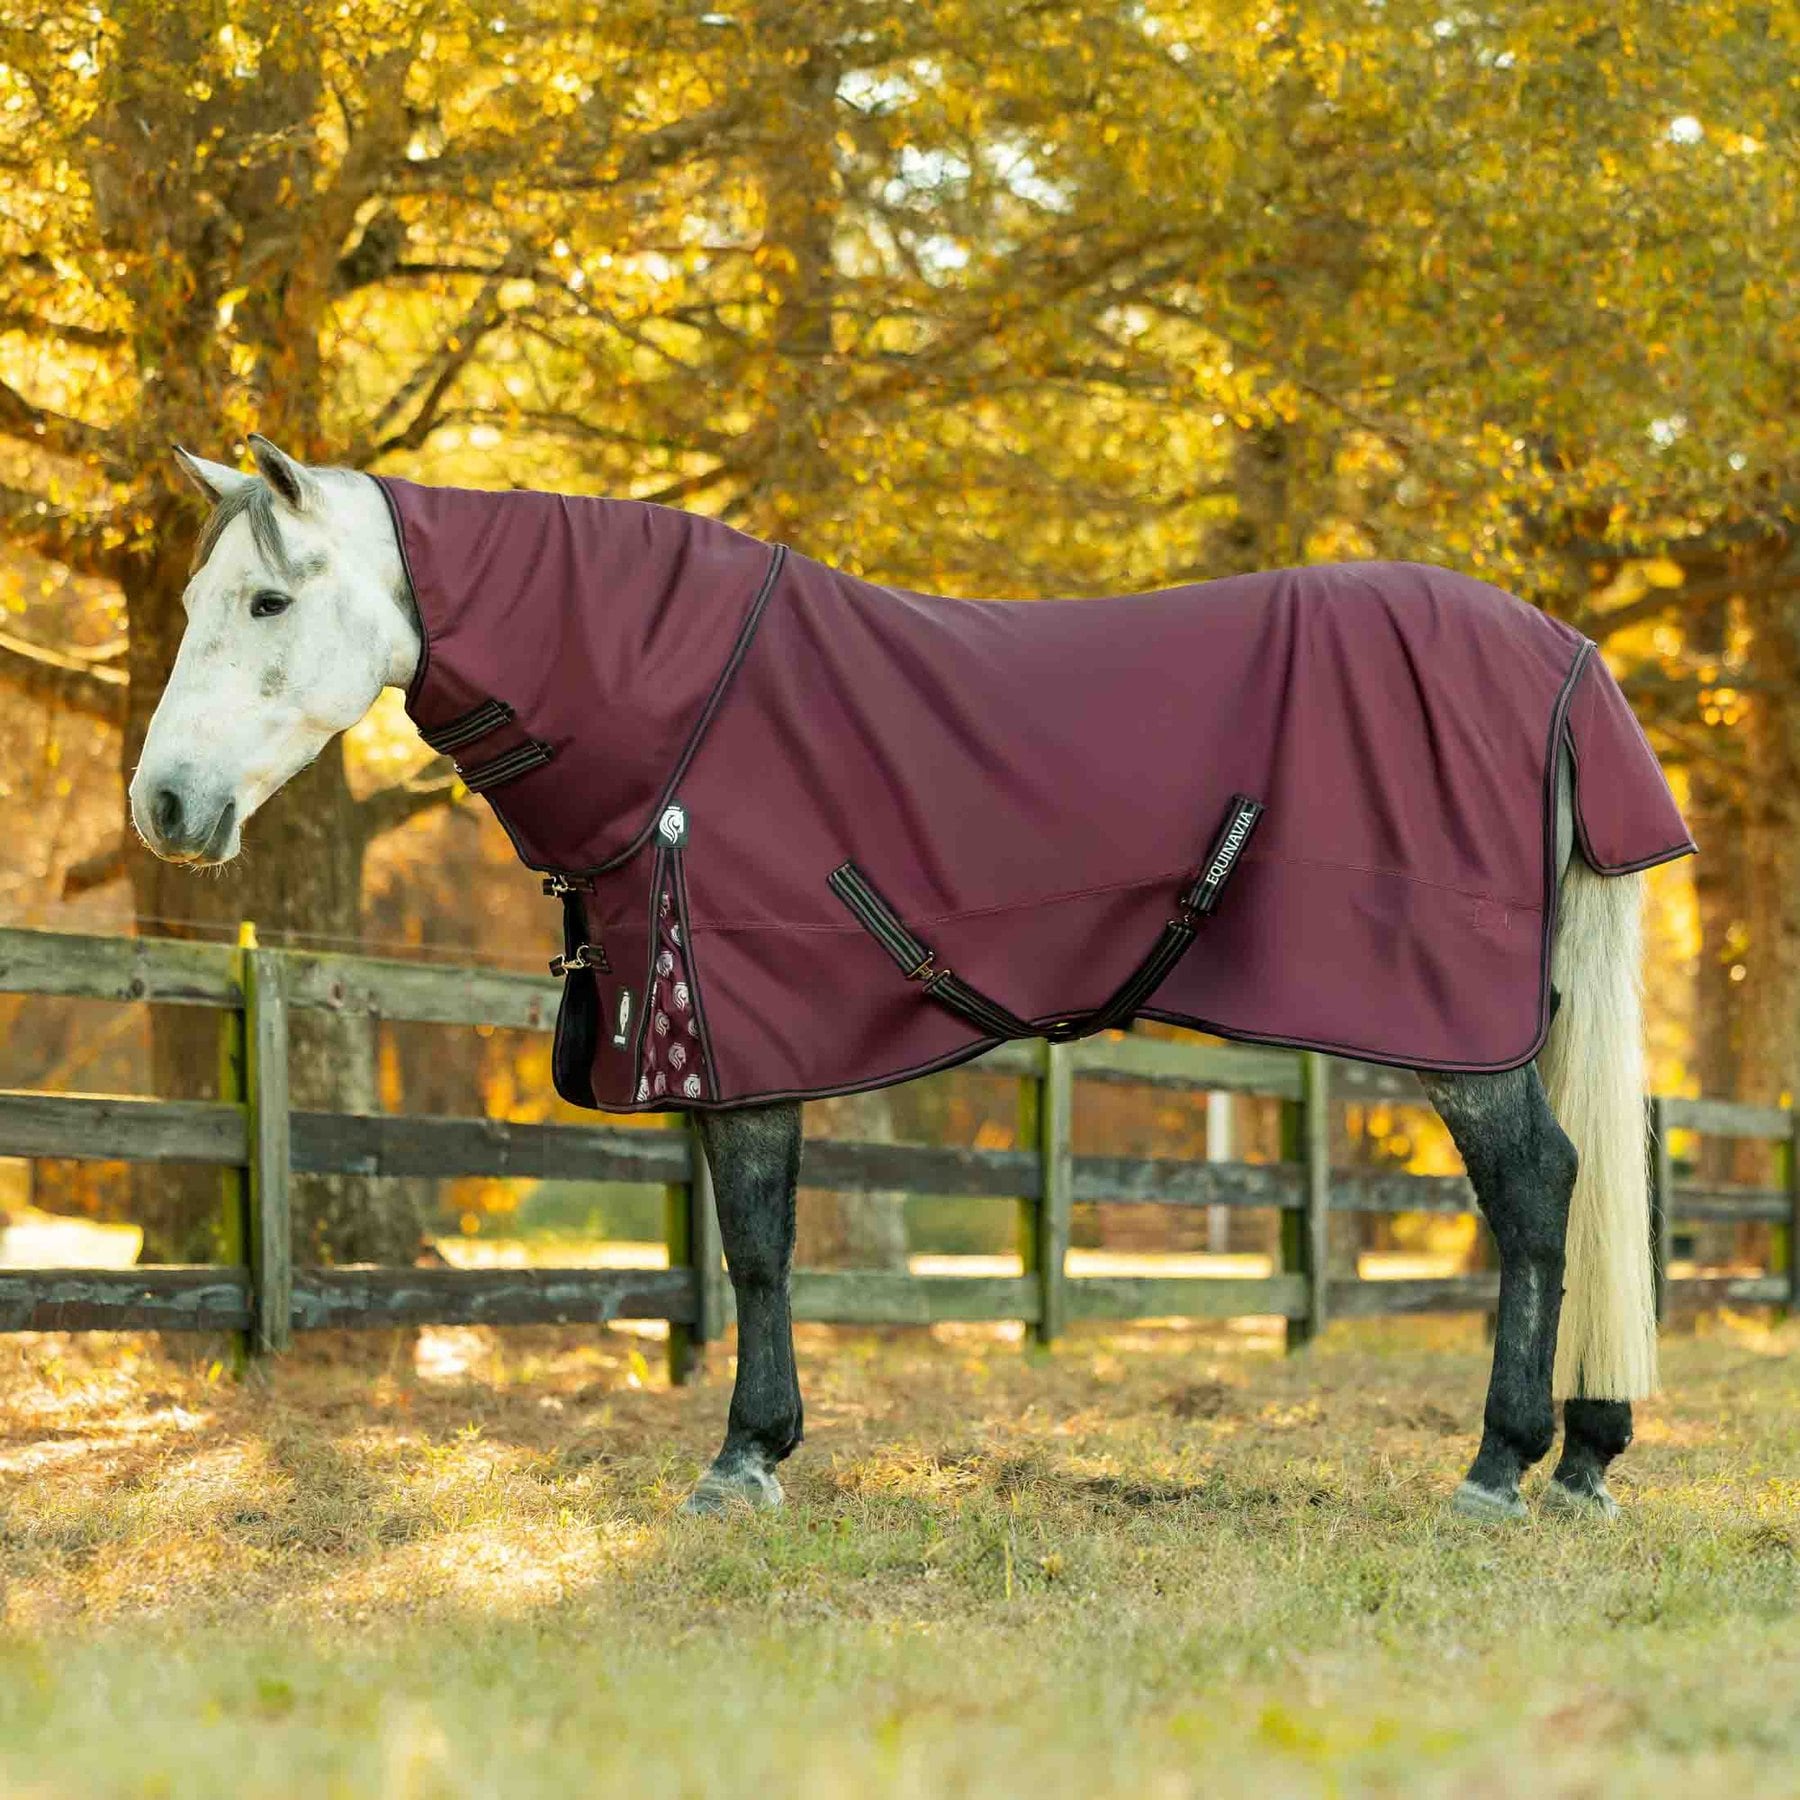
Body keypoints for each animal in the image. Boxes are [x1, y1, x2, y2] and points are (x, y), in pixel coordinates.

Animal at [132, 435, 1681, 1522]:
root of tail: (1561, 654)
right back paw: (1585, 1457)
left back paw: (1504, 1464)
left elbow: (756, 1244)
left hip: (1457, 1035)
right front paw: (764, 1447)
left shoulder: (740, 1028)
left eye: (265, 599)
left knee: (1538, 1191)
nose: (162, 806)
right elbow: (756, 1240)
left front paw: (743, 1459)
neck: (679, 705)